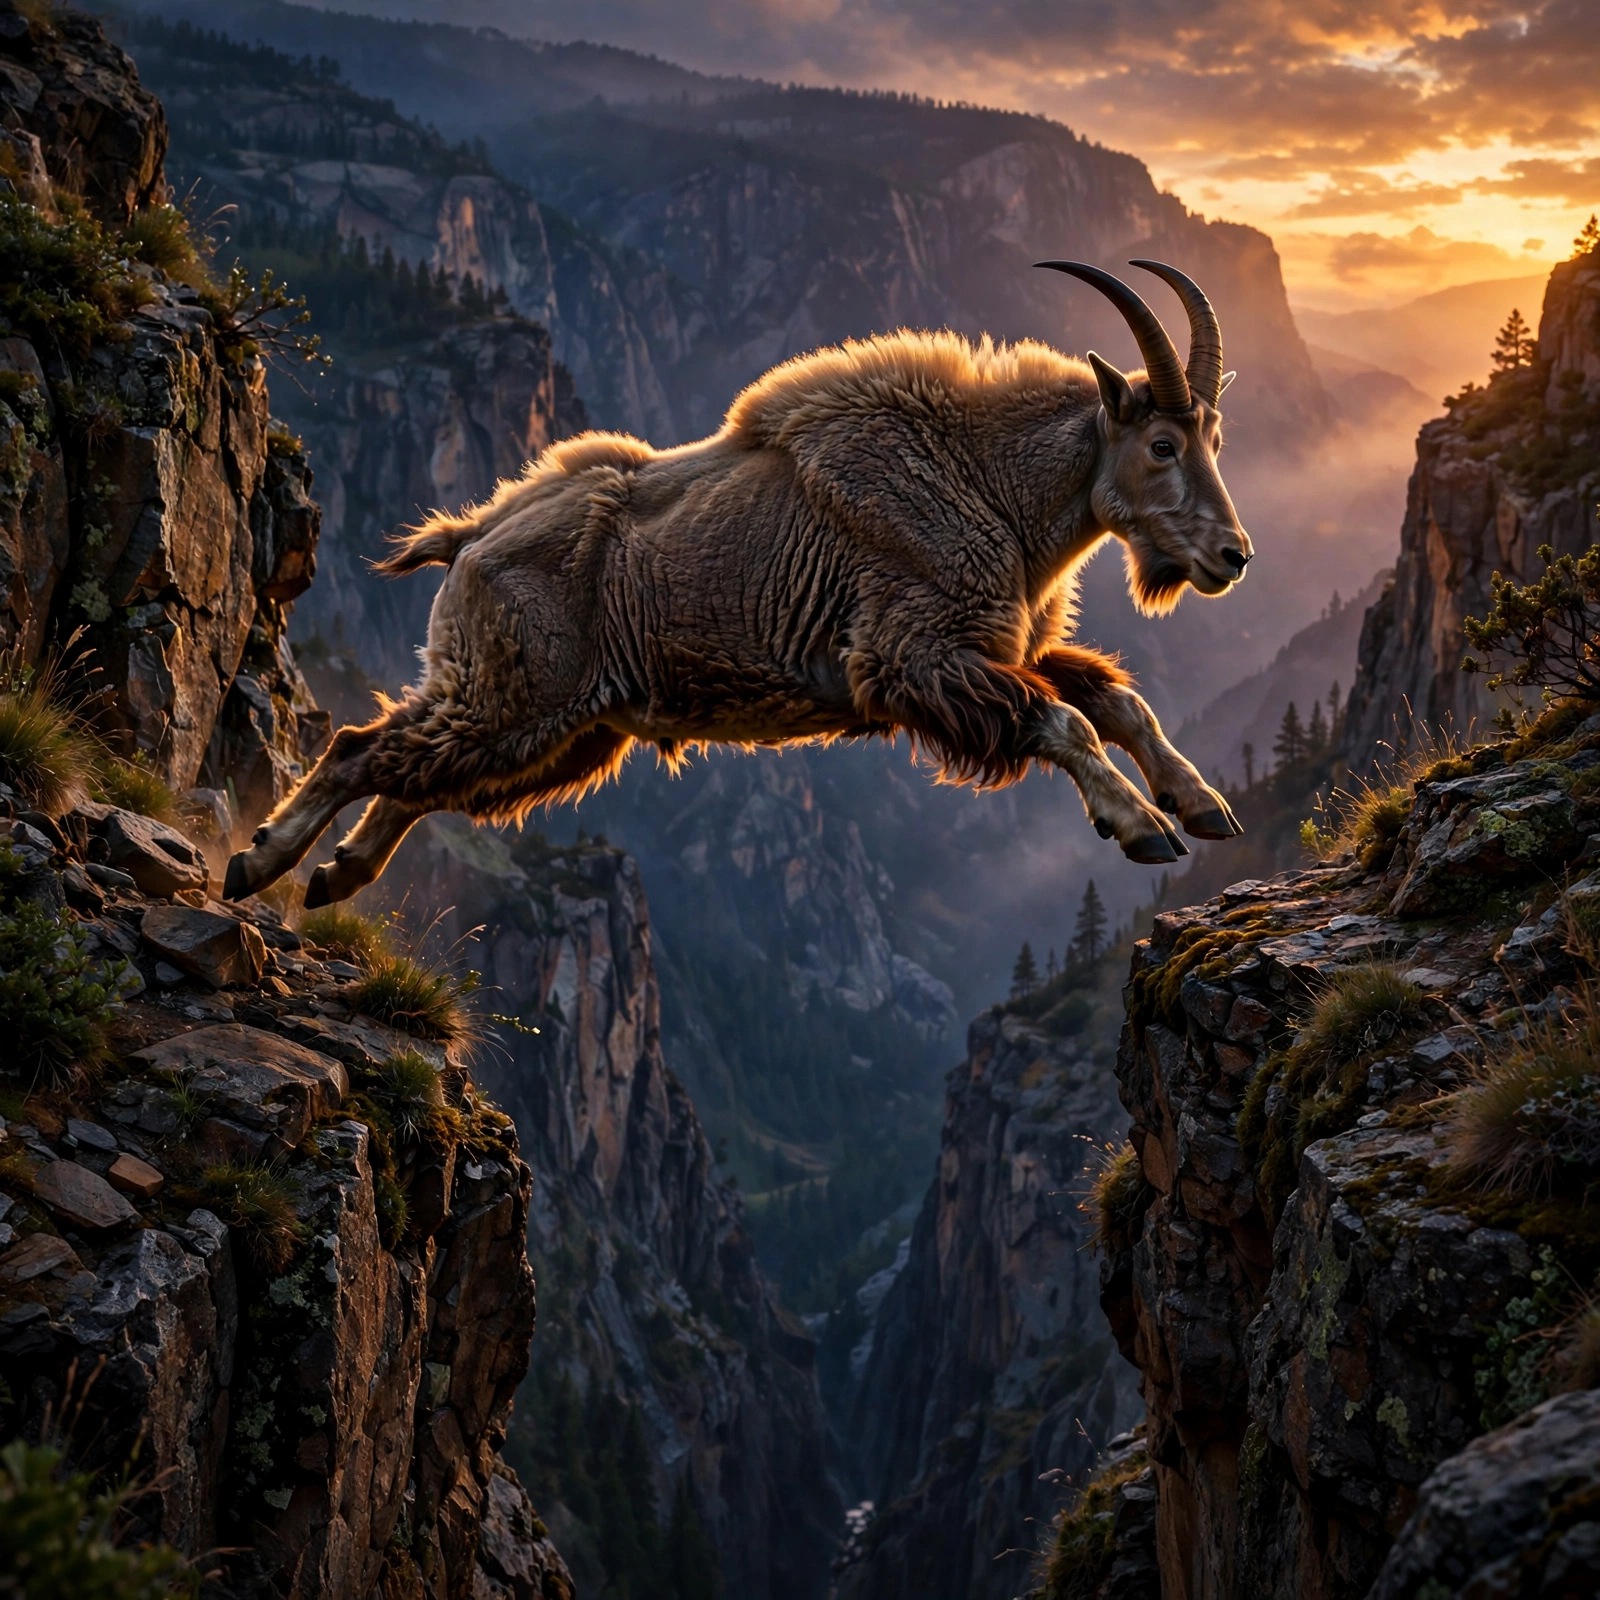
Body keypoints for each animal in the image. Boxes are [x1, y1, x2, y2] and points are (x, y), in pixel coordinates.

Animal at [225, 259, 1251, 909]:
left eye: (1213, 437)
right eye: (1163, 445)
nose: (1233, 556)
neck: (986, 483)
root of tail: (472, 537)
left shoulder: (1005, 651)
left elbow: (1116, 700)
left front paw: (1202, 803)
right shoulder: (914, 660)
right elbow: (1066, 721)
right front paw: (1140, 823)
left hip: (560, 730)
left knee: (415, 776)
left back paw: (337, 873)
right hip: (517, 698)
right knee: (361, 746)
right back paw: (260, 862)